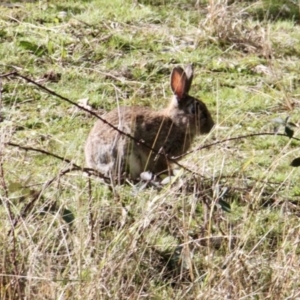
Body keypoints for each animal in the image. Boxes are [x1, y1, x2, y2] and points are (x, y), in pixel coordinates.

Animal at [85, 65, 213, 180]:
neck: (174, 123)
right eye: (194, 110)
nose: (211, 126)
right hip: (123, 145)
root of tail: (93, 162)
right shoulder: (160, 154)